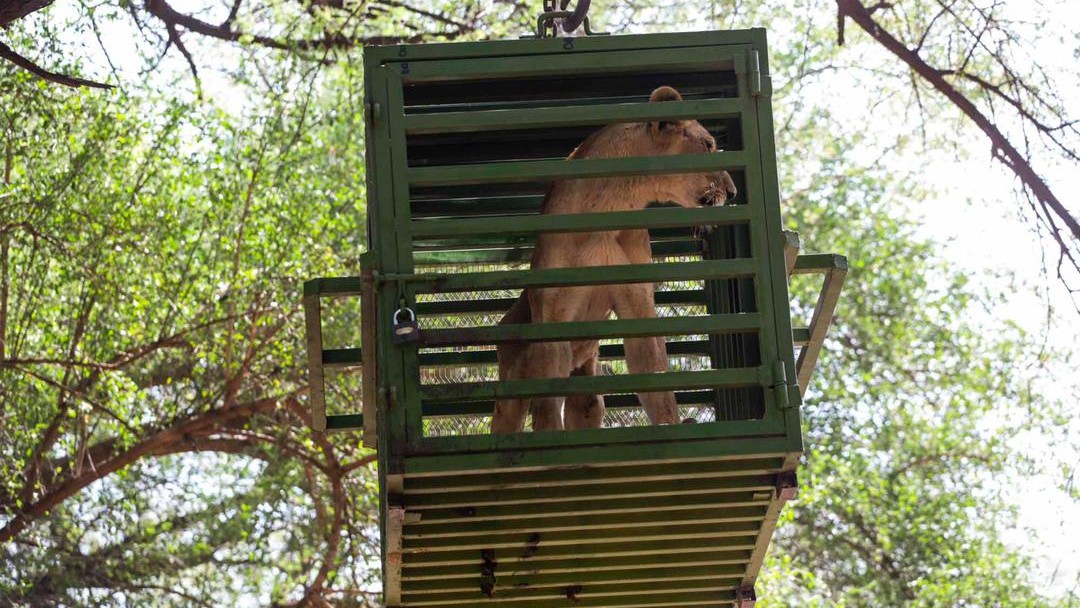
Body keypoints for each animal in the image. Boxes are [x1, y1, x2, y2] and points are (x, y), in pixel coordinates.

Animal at [491, 85, 737, 434]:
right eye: (708, 144)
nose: (732, 191)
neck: (609, 209)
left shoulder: (638, 301)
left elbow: (656, 379)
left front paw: (670, 425)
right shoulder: (553, 317)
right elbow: (548, 405)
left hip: (589, 394)